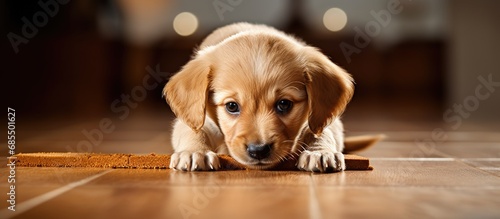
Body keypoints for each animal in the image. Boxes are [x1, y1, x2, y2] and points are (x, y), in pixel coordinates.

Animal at [166, 22, 376, 173]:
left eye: (284, 104)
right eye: (232, 106)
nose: (258, 150)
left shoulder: (322, 118)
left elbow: (321, 132)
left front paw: (320, 152)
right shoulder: (196, 118)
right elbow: (193, 130)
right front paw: (194, 152)